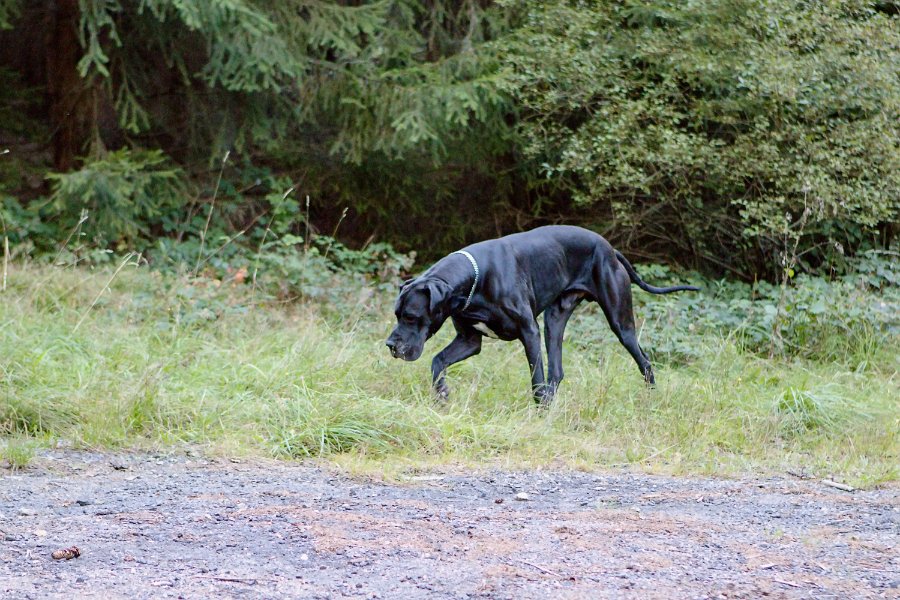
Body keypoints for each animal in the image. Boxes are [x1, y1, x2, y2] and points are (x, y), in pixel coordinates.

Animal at [384, 225, 700, 404]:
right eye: (396, 314)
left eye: (410, 316)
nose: (390, 345)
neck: (473, 280)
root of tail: (610, 248)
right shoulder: (469, 340)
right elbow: (437, 362)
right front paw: (441, 395)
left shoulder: (529, 332)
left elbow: (535, 377)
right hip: (554, 320)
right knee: (556, 371)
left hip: (620, 323)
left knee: (644, 361)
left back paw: (650, 400)